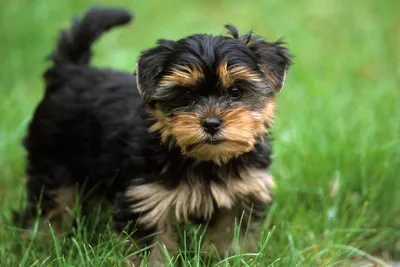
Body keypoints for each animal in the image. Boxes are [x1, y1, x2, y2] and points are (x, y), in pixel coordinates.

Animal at [15, 5, 290, 266]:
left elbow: (230, 237)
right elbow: (150, 247)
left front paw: (230, 259)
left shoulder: (242, 193)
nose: (211, 123)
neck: (206, 160)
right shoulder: (147, 199)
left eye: (236, 91)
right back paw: (42, 243)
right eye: (186, 95)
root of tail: (69, 71)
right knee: (51, 203)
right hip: (52, 158)